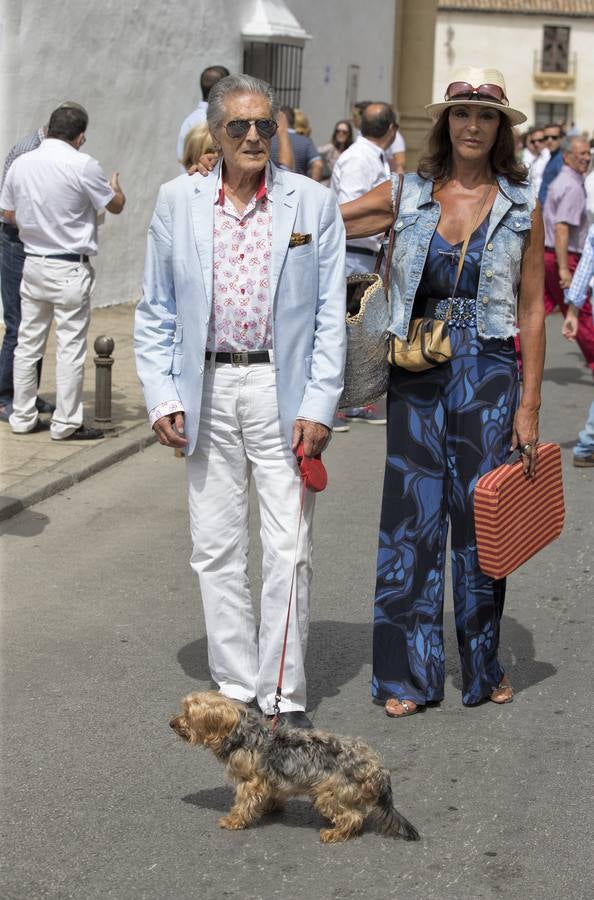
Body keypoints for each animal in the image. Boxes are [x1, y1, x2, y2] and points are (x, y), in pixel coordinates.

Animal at [166, 688, 418, 844]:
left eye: (188, 714)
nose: (171, 723)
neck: (244, 733)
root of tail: (375, 768)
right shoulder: (269, 779)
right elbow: (272, 794)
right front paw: (269, 807)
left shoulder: (250, 782)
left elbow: (243, 803)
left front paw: (233, 821)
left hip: (327, 792)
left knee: (353, 817)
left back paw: (334, 833)